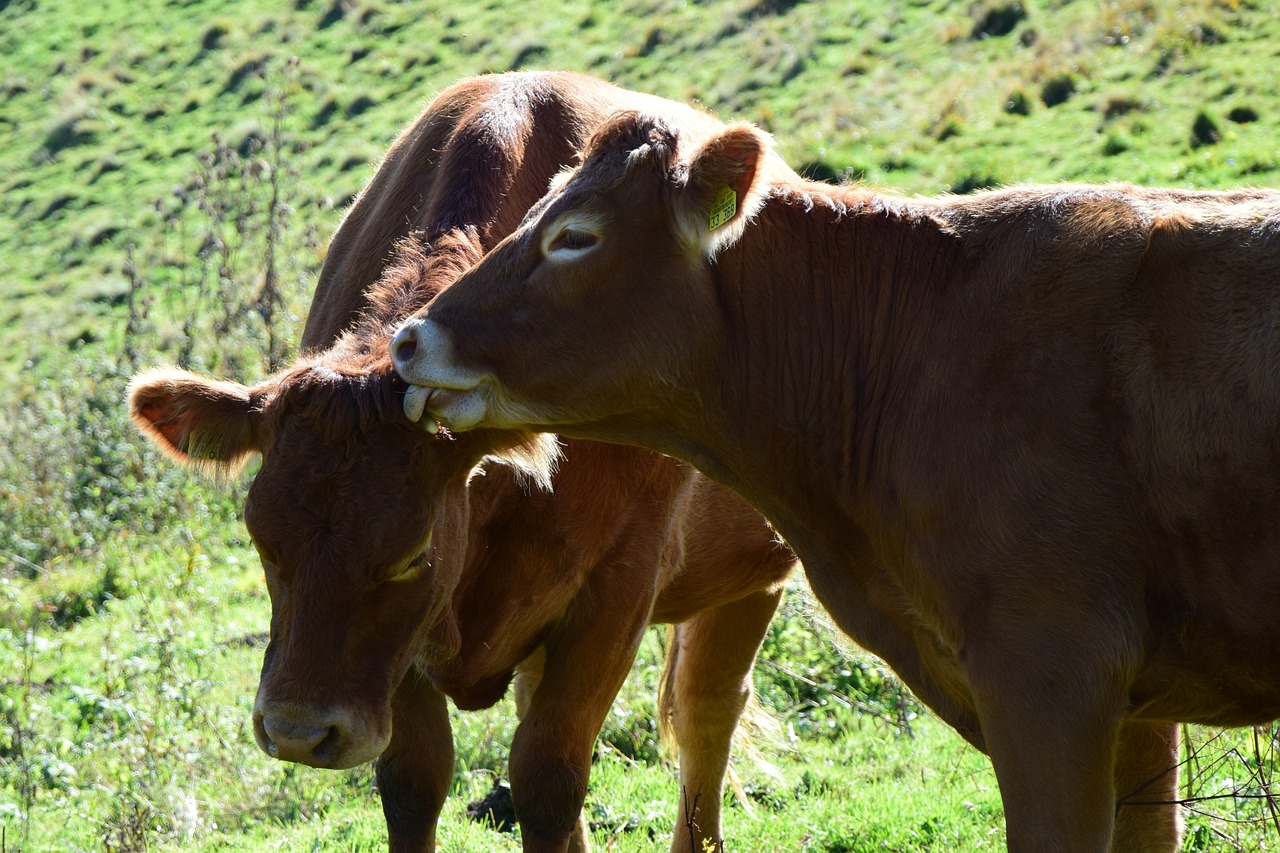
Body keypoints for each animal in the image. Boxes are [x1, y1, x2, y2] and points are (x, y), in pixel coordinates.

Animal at [129, 74, 793, 850]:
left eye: (412, 553)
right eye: (262, 539)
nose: (297, 730)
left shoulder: (616, 591)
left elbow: (548, 775)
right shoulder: (406, 652)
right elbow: (415, 777)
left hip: (755, 571)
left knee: (705, 711)